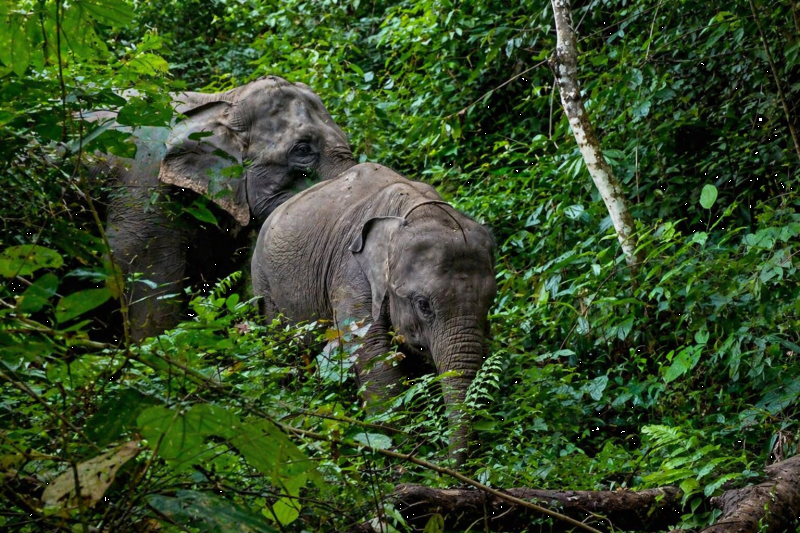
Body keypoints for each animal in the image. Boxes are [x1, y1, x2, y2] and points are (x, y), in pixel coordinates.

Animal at [251, 163, 497, 464]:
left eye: (490, 302)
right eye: (423, 305)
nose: (442, 459)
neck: (413, 209)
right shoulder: (351, 272)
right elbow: (371, 350)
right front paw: (396, 452)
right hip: (264, 286)